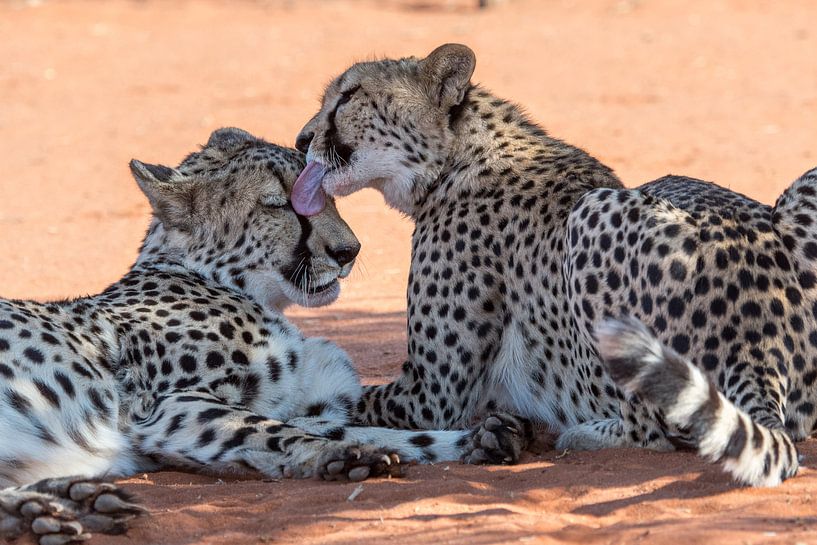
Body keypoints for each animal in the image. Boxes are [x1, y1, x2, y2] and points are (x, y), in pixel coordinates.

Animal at [0, 127, 518, 545]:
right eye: (280, 204)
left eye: (328, 196)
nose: (349, 251)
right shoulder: (163, 408)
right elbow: (272, 430)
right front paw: (341, 456)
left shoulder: (297, 407)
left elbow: (370, 429)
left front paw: (479, 440)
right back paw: (51, 508)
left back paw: (65, 504)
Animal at [291, 42, 817, 487]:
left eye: (350, 96)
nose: (301, 139)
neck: (455, 159)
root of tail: (760, 340)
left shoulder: (430, 393)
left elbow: (346, 402)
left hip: (590, 214)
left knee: (656, 430)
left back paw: (586, 432)